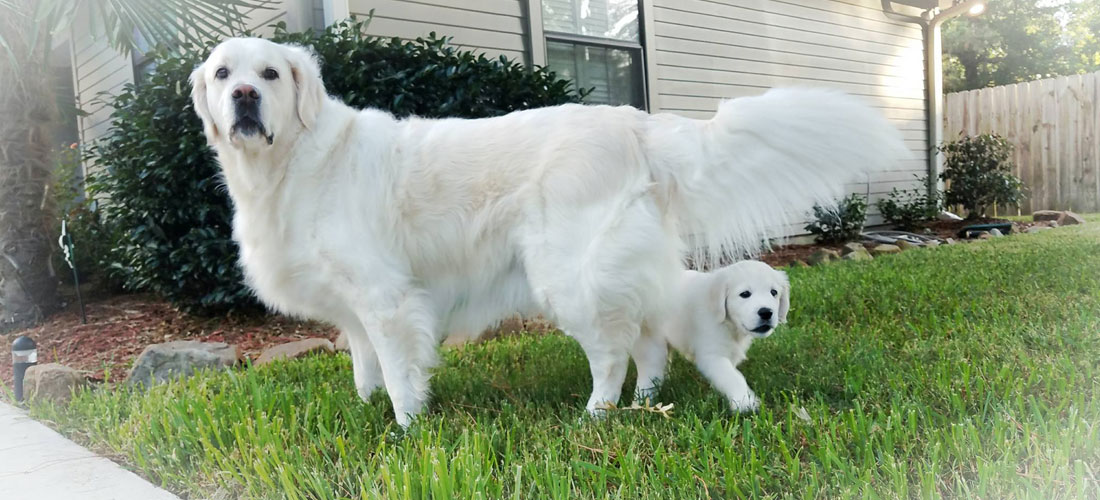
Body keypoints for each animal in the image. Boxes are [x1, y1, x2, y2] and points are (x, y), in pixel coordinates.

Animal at [638, 260, 792, 413]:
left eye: (774, 292)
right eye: (745, 294)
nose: (766, 312)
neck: (728, 323)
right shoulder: (711, 355)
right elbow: (733, 377)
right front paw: (745, 402)